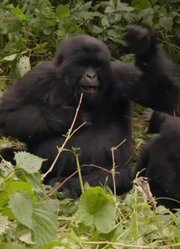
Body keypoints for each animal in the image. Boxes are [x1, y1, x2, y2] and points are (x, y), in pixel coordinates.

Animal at [0, 24, 179, 197]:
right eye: (83, 65)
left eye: (97, 66)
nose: (91, 76)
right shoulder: (40, 76)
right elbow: (7, 113)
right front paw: (74, 116)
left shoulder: (118, 74)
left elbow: (162, 95)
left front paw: (144, 43)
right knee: (9, 155)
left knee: (119, 175)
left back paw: (66, 187)